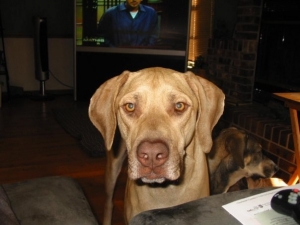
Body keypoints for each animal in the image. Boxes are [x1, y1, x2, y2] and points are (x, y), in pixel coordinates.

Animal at [88, 66, 224, 223]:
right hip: (112, 169)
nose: (152, 154)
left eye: (179, 106)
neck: (167, 191)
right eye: (130, 106)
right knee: (109, 203)